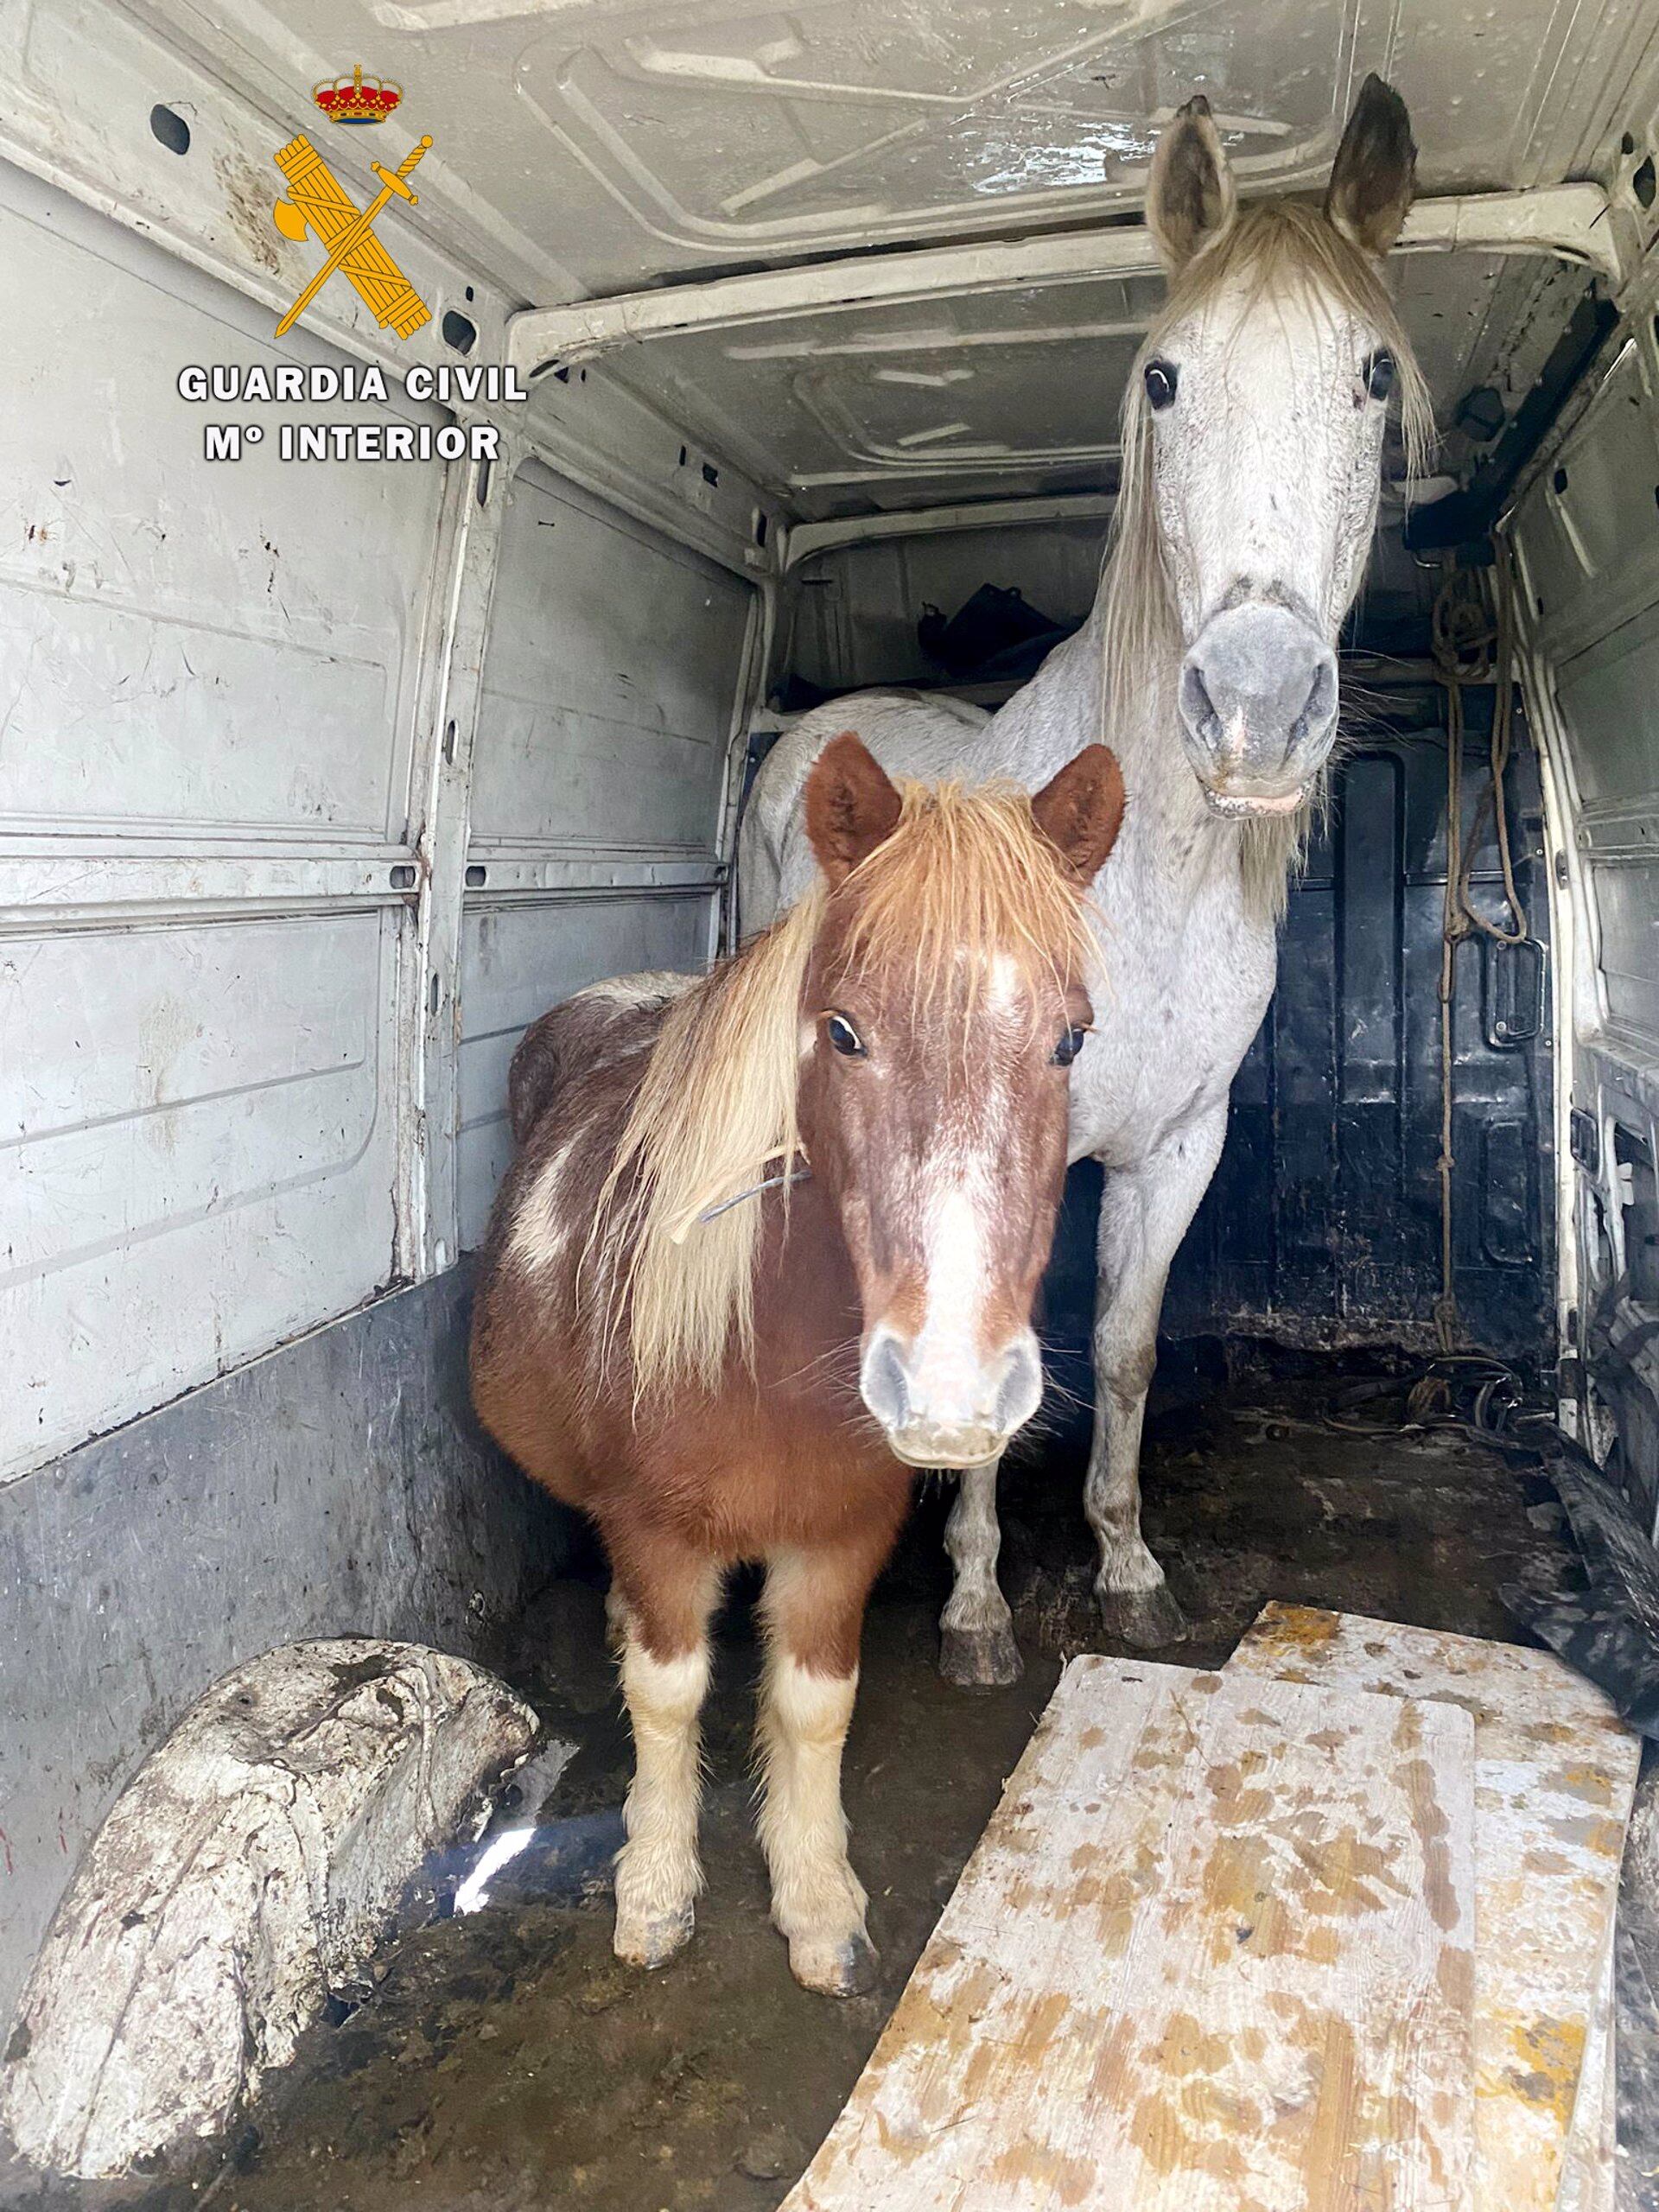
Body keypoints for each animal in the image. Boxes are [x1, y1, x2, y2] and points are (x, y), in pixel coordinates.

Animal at [473, 734, 1123, 1999]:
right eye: (843, 1031)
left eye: (1071, 1038)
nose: (949, 1388)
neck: (755, 1359)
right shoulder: (659, 1533)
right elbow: (668, 1696)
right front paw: (655, 1887)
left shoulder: (840, 1536)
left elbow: (816, 1707)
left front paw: (818, 1899)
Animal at [747, 78, 1433, 1681]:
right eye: (1165, 380)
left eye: (1374, 373)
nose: (1255, 708)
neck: (1146, 889)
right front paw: (978, 1607)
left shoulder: (1177, 1146)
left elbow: (1121, 1349)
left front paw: (1125, 1567)